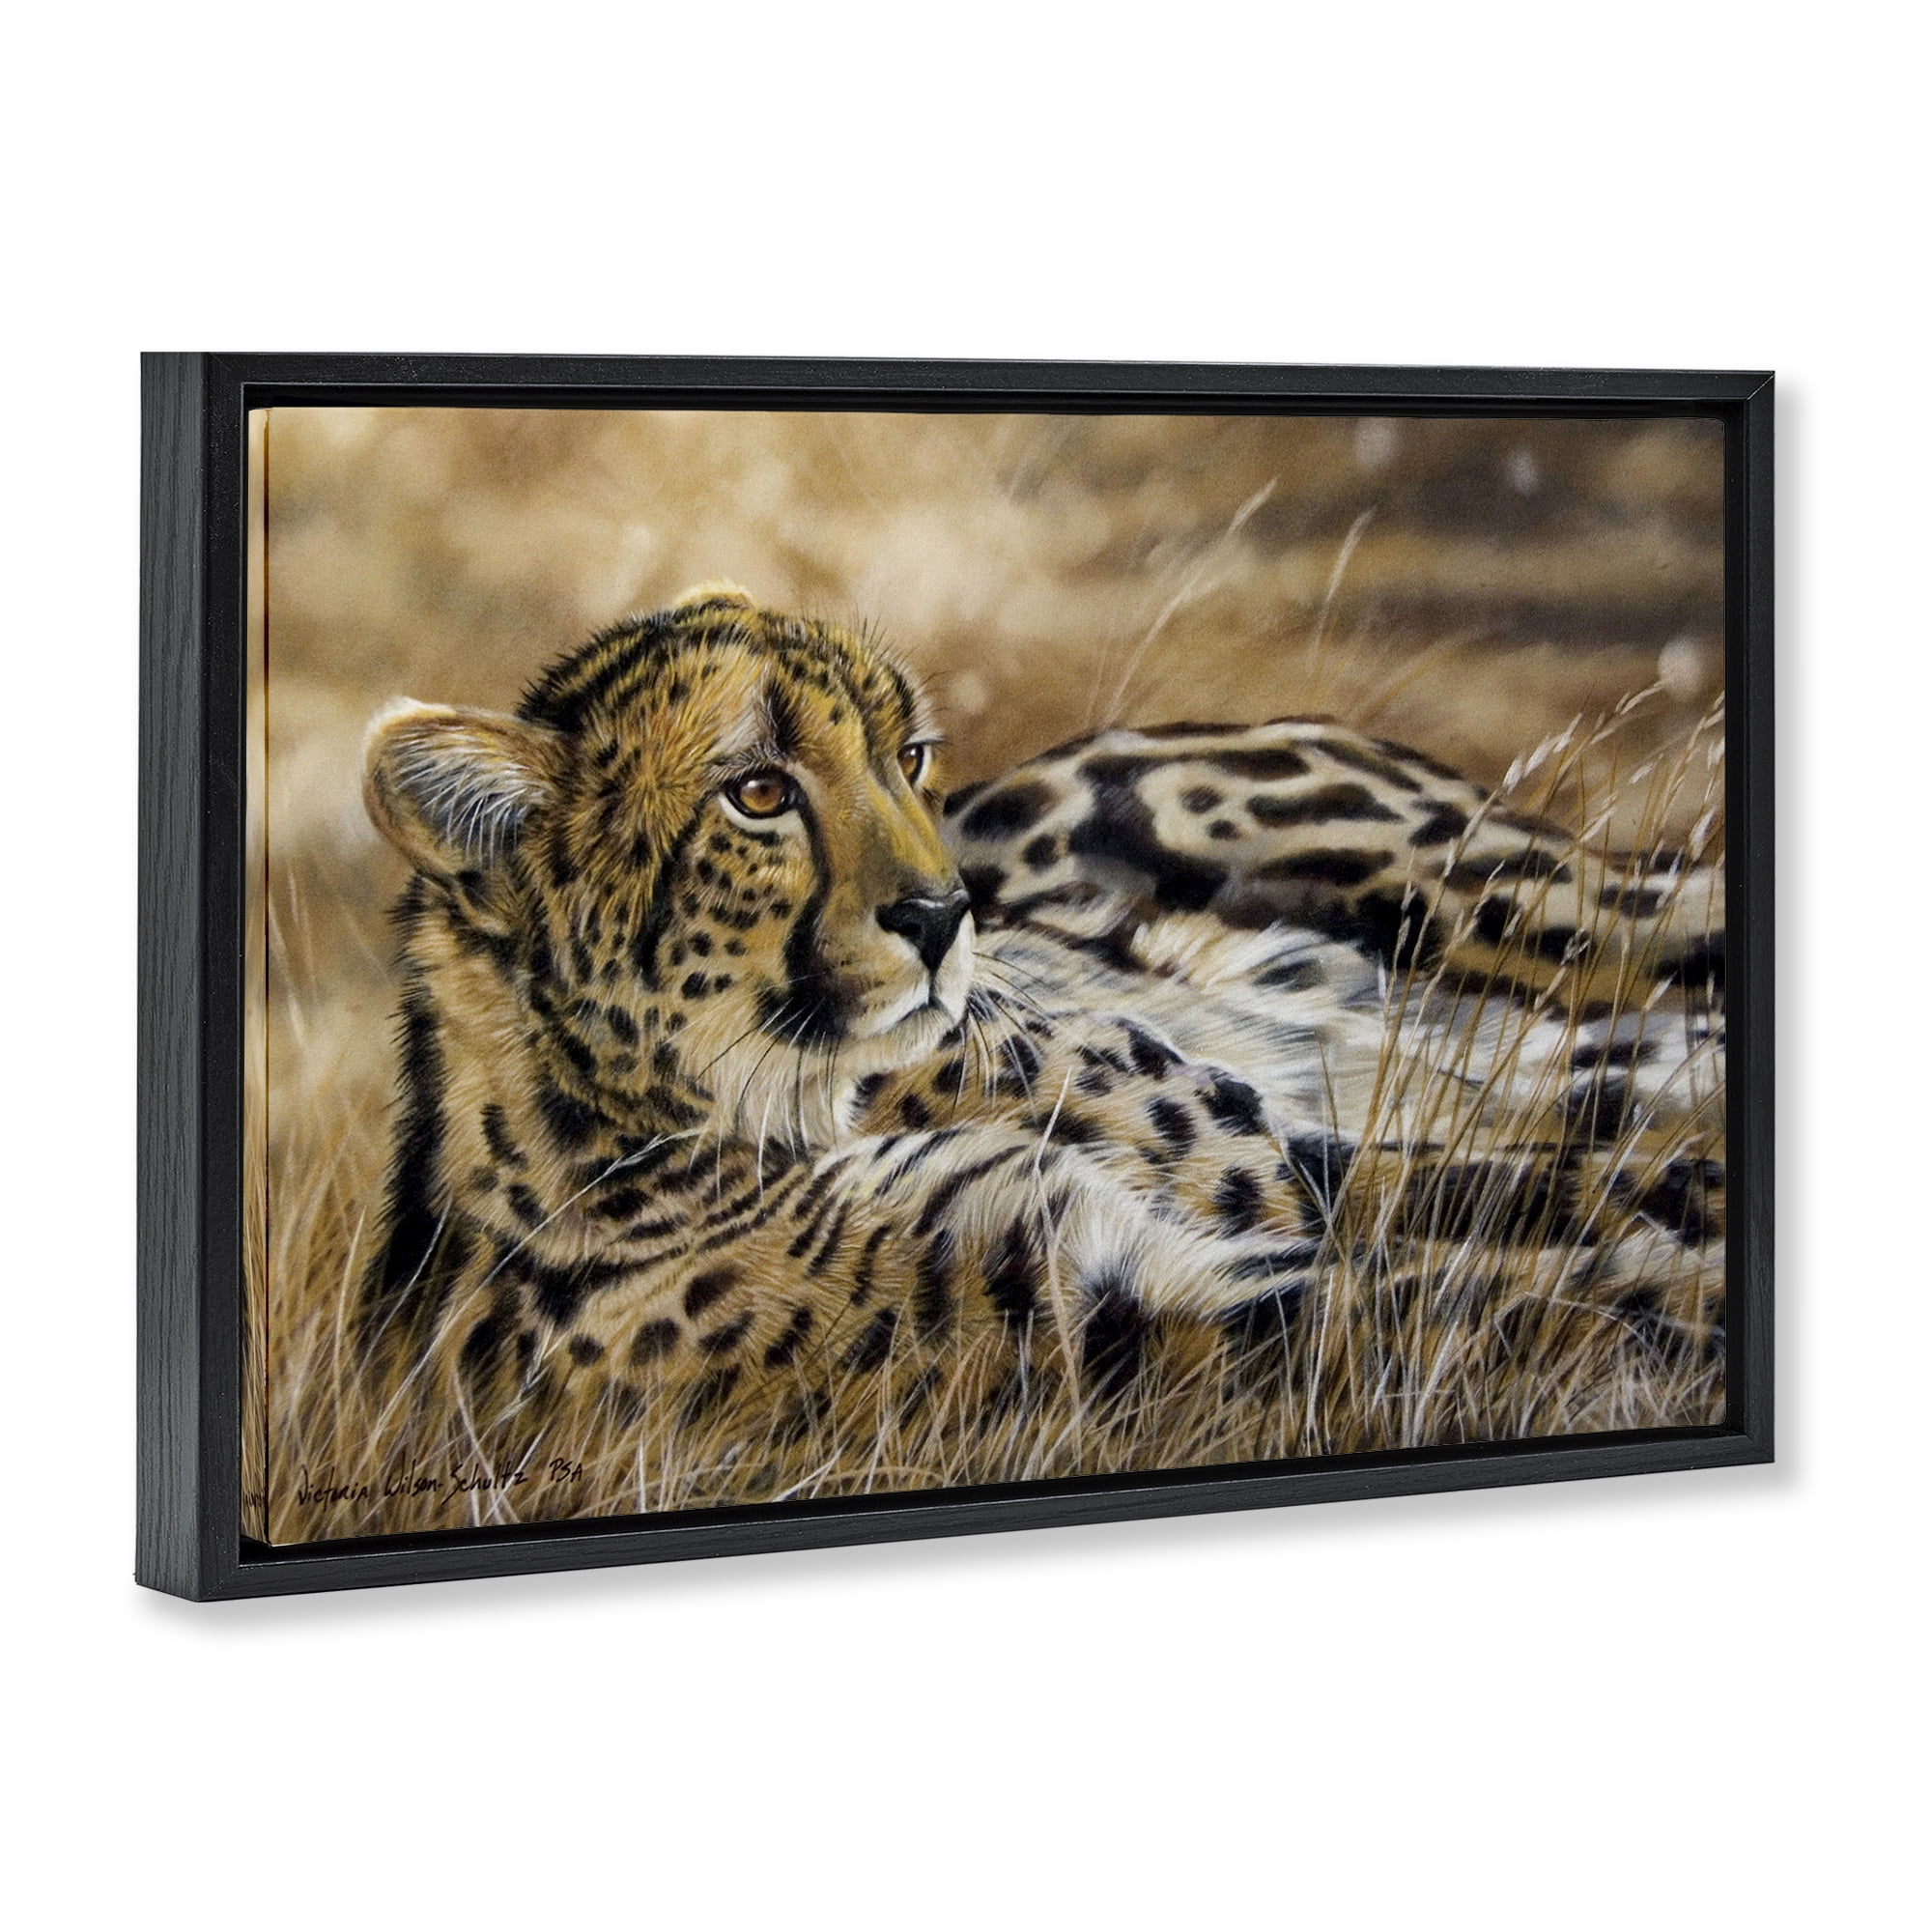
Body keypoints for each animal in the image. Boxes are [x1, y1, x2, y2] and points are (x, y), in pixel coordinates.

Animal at [356, 582, 1726, 1505]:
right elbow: (1492, 1286)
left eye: (906, 755)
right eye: (757, 791)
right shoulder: (1127, 1304)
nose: (941, 911)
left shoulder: (1263, 1169)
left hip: (1505, 902)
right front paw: (1687, 1290)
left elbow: (1548, 1195)